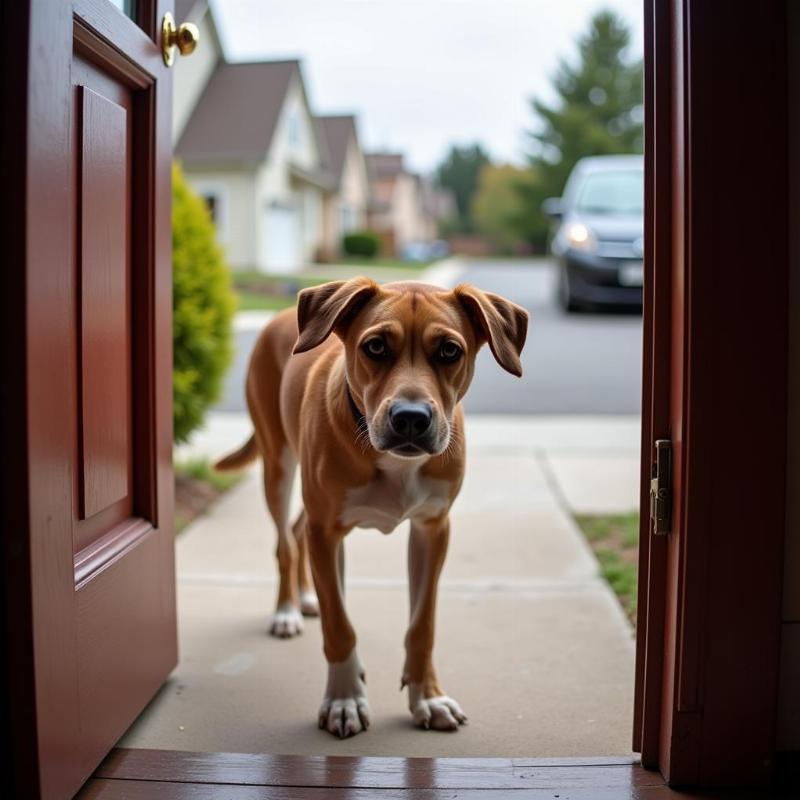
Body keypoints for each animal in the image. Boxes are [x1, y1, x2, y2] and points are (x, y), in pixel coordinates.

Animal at [219, 280, 528, 736]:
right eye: (376, 346)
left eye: (449, 351)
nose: (411, 418)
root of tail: (280, 315)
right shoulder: (327, 531)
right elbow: (340, 625)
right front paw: (344, 699)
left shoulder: (432, 529)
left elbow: (422, 625)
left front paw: (427, 697)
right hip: (278, 465)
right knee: (284, 542)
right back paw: (287, 610)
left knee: (296, 531)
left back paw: (305, 597)